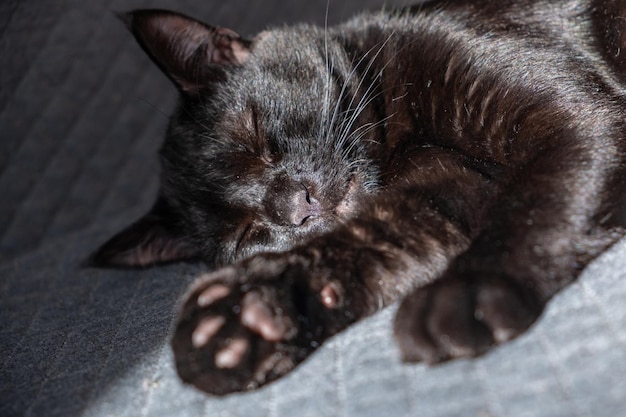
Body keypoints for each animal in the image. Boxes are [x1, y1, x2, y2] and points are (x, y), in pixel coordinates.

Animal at [90, 0, 624, 394]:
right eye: (245, 233)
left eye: (255, 137)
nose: (294, 206)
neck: (403, 139)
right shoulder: (441, 195)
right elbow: (365, 243)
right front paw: (243, 319)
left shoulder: (574, 117)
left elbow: (536, 198)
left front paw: (469, 292)